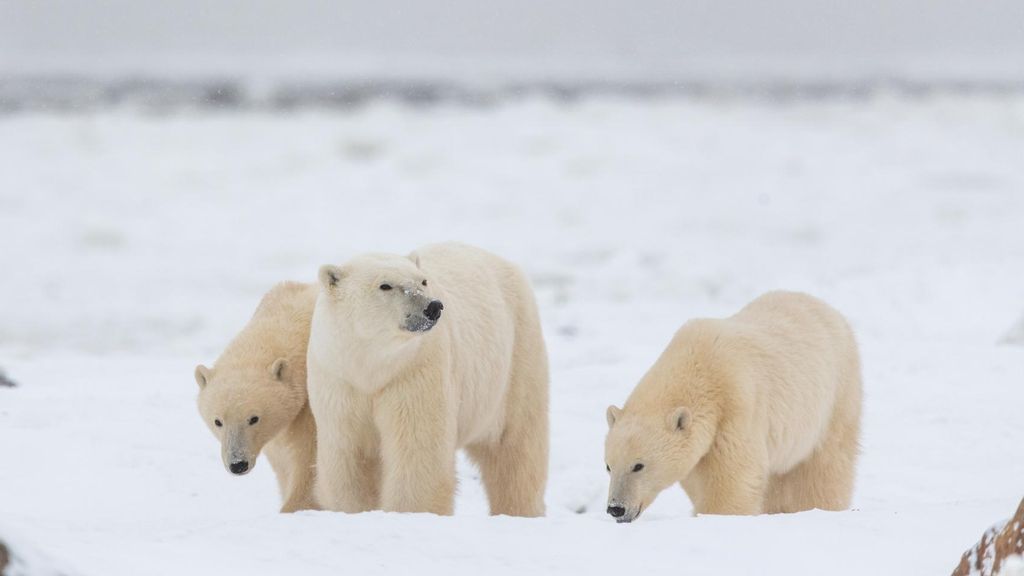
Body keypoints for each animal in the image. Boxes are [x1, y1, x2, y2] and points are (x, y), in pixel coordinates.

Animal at [195, 281, 320, 513]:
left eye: (254, 418)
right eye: (218, 421)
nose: (238, 464)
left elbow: (310, 461)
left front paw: (294, 507)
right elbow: (284, 464)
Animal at [307, 242, 549, 517]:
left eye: (423, 281)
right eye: (385, 285)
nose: (433, 307)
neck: (372, 367)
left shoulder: (415, 371)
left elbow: (417, 449)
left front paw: (411, 512)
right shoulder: (339, 379)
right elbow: (348, 452)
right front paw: (355, 510)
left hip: (516, 360)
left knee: (515, 447)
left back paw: (519, 510)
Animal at [604, 291, 862, 522]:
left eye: (639, 465)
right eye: (608, 466)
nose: (616, 508)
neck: (699, 367)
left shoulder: (736, 407)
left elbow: (732, 478)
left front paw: (718, 517)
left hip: (835, 395)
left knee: (824, 466)